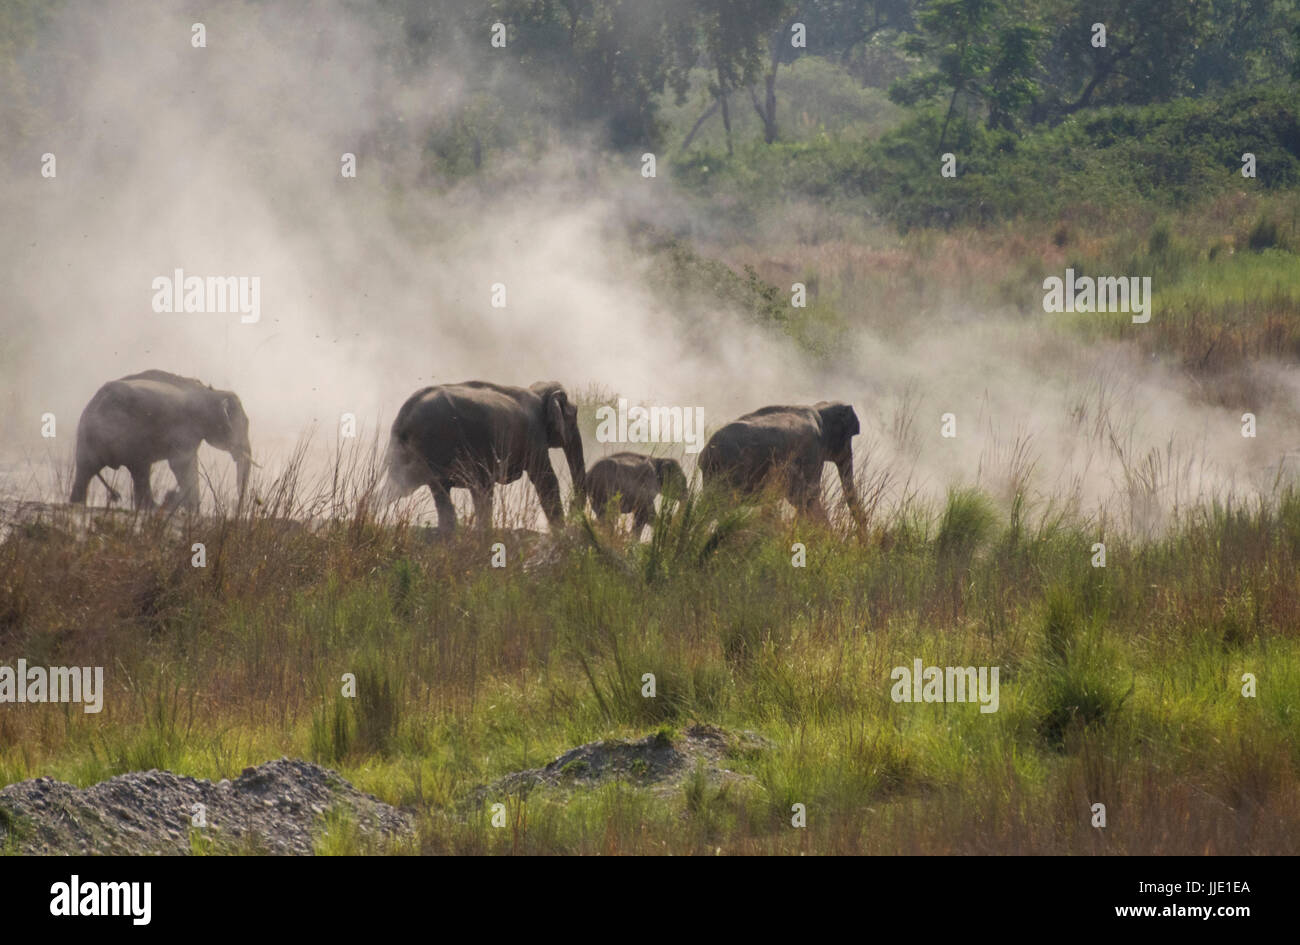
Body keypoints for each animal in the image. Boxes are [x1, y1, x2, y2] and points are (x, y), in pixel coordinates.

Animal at [69, 374, 253, 514]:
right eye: (244, 424)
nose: (238, 510)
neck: (211, 392)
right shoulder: (185, 428)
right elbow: (182, 464)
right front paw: (190, 509)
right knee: (137, 468)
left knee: (89, 469)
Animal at [382, 382, 587, 532]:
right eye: (574, 416)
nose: (573, 507)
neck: (538, 391)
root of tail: (404, 415)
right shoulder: (534, 435)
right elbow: (545, 479)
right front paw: (560, 532)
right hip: (438, 439)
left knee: (406, 487)